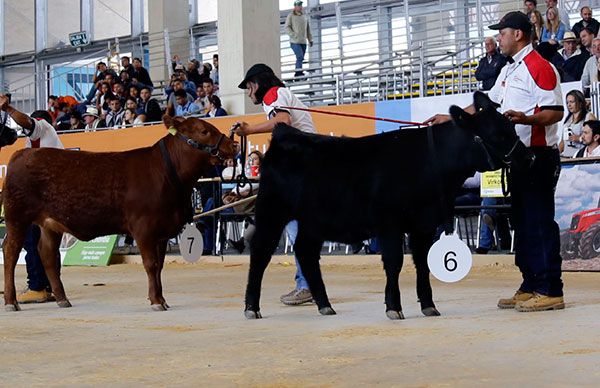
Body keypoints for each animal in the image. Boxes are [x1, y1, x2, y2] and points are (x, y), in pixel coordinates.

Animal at [2, 116, 237, 312]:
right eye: (204, 130)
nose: (232, 145)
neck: (165, 174)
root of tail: (23, 153)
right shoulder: (144, 228)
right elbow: (151, 265)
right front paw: (155, 301)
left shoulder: (162, 232)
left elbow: (159, 266)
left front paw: (162, 299)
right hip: (17, 217)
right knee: (11, 251)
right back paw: (11, 301)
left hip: (50, 223)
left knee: (48, 254)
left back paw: (62, 299)